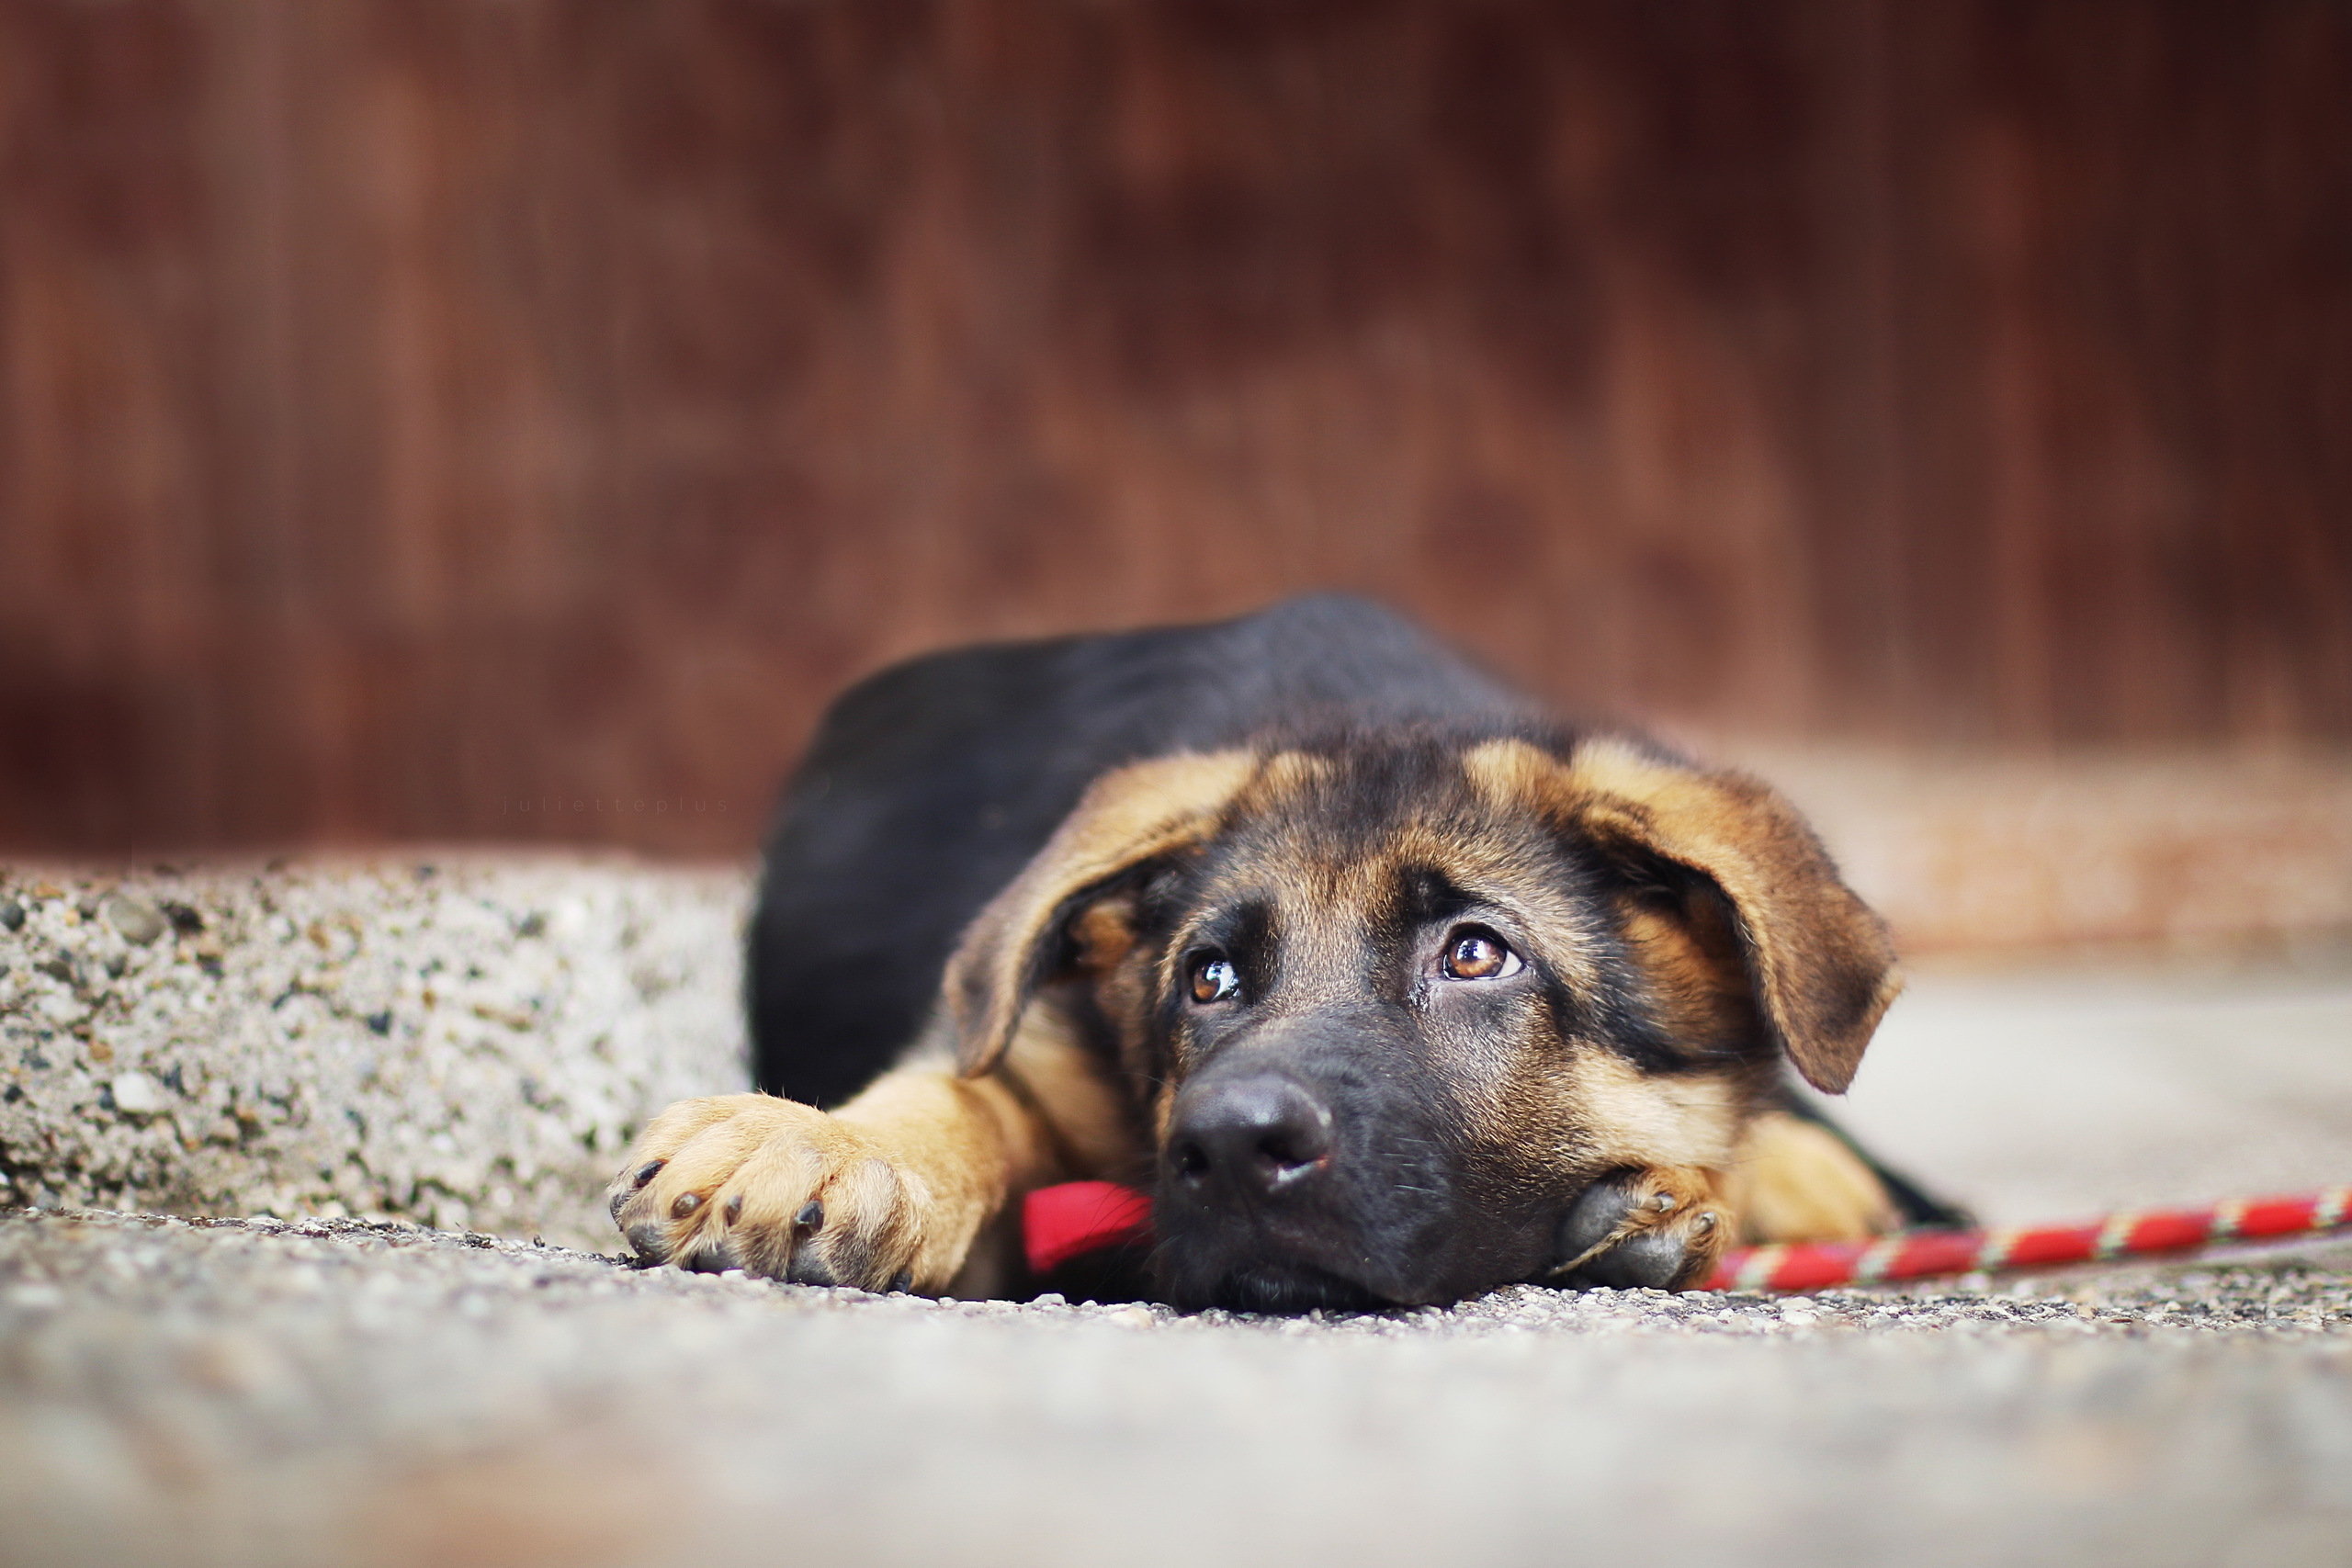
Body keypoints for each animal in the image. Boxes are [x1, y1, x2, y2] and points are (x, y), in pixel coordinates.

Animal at [606, 597, 1947, 1316]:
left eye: (1476, 954)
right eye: (1209, 979)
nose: (1232, 1147)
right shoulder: (1042, 1061)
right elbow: (961, 1088)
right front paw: (825, 1138)